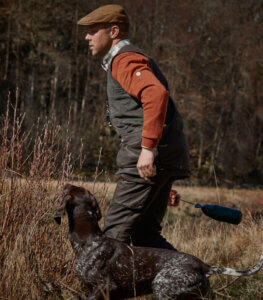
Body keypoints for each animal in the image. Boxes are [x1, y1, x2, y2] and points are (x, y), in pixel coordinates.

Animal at [54, 184, 263, 298]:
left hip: (162, 287)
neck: (89, 239)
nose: (64, 183)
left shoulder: (105, 286)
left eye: (68, 188)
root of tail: (203, 265)